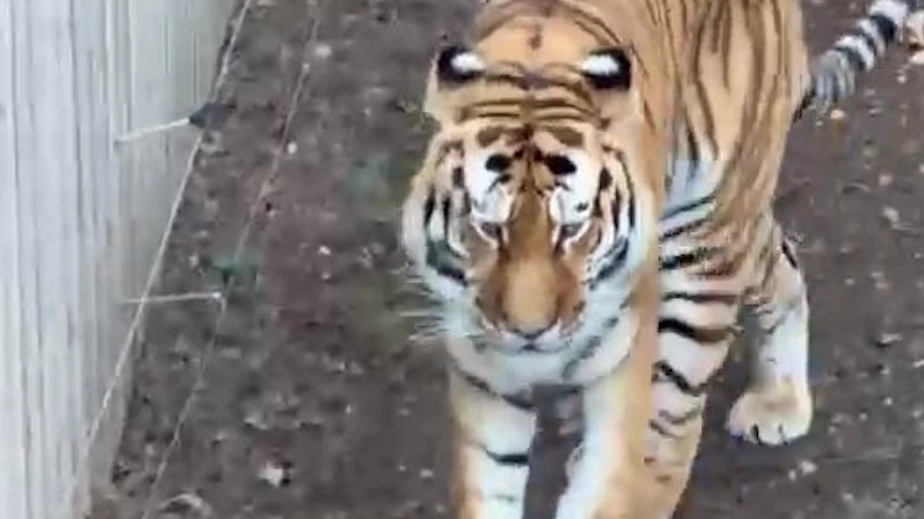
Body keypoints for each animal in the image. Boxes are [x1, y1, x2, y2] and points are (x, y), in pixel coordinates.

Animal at [398, 0, 920, 518]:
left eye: (572, 228)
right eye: (488, 227)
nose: (530, 332)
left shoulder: (622, 360)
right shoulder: (485, 374)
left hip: (707, 246)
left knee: (671, 422)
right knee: (782, 260)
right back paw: (776, 399)